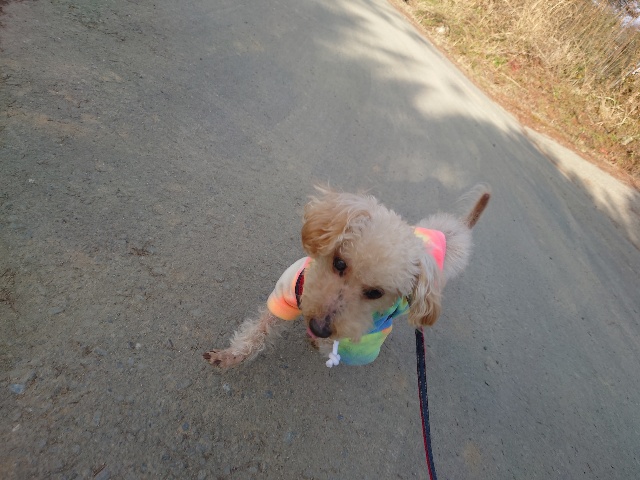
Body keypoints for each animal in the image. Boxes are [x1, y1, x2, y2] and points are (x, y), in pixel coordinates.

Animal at [204, 185, 490, 369]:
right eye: (339, 263)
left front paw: (320, 342)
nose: (319, 327)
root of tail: (456, 229)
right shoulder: (288, 292)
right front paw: (232, 355)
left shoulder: (364, 338)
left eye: (375, 293)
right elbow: (259, 330)